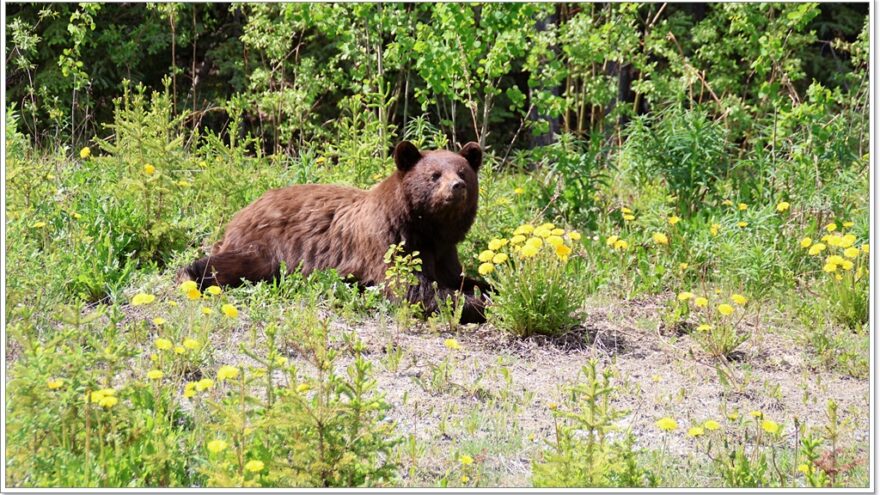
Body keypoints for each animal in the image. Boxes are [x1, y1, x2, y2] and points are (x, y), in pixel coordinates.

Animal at [180, 141, 488, 324]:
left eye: (463, 172)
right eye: (434, 175)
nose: (457, 186)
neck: (427, 229)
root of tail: (243, 210)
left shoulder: (445, 251)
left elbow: (457, 277)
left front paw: (484, 289)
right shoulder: (389, 242)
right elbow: (410, 287)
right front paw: (474, 303)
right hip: (265, 244)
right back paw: (192, 274)